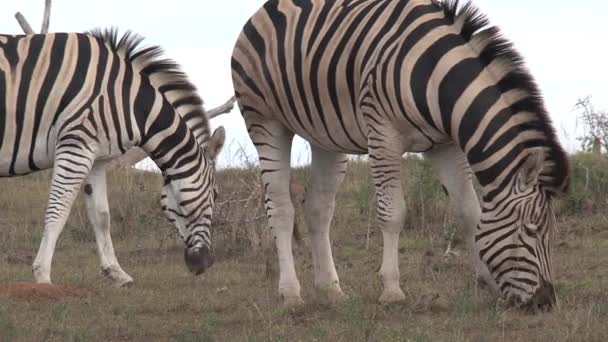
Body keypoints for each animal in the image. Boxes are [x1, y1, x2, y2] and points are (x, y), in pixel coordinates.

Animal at [0, 29, 226, 286]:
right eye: (216, 195)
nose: (205, 263)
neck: (130, 101)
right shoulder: (76, 145)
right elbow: (58, 211)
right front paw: (42, 277)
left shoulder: (96, 157)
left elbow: (101, 216)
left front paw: (116, 272)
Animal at [233, 0, 568, 310]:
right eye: (531, 229)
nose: (545, 301)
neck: (436, 81)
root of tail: (267, 8)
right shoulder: (384, 136)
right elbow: (393, 213)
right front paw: (392, 290)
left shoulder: (443, 145)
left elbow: (469, 212)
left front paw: (487, 280)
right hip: (264, 121)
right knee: (280, 208)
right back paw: (291, 294)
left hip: (325, 134)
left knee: (318, 208)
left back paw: (331, 290)